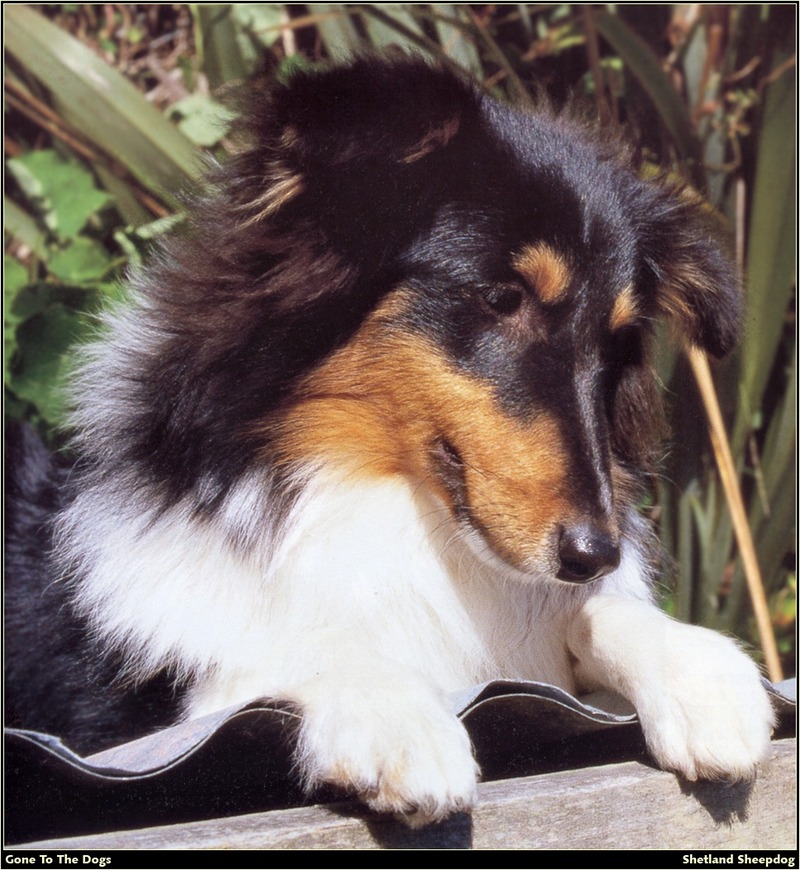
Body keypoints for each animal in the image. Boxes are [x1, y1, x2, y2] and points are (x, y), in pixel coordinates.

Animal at [3, 58, 772, 828]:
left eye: (615, 345)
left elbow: (591, 614)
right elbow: (293, 648)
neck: (396, 506)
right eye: (502, 298)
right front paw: (400, 719)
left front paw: (699, 673)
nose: (594, 554)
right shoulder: (137, 713)